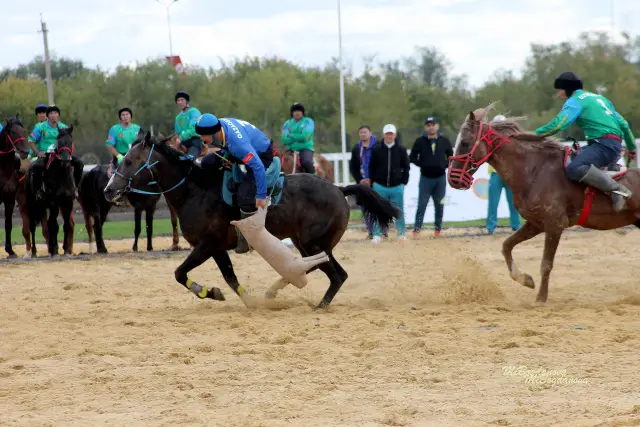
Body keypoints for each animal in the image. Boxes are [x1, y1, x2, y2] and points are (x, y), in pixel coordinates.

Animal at [25, 124, 82, 258]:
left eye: (70, 141)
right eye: (59, 142)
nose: (65, 160)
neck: (61, 176)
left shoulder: (67, 203)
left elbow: (66, 225)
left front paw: (65, 250)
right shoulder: (53, 203)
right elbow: (54, 225)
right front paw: (55, 249)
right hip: (32, 204)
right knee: (33, 226)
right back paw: (34, 251)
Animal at [105, 133, 400, 308]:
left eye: (129, 161)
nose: (109, 190)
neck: (196, 189)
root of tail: (340, 189)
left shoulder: (206, 245)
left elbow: (180, 273)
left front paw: (206, 291)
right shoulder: (217, 248)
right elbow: (230, 278)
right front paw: (237, 299)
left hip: (314, 243)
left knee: (333, 273)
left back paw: (315, 305)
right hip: (306, 243)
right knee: (321, 270)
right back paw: (276, 292)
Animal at [448, 103, 640, 304]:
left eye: (465, 143)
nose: (453, 178)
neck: (535, 170)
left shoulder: (555, 225)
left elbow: (546, 264)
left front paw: (541, 298)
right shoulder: (535, 223)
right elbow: (506, 245)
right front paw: (525, 279)